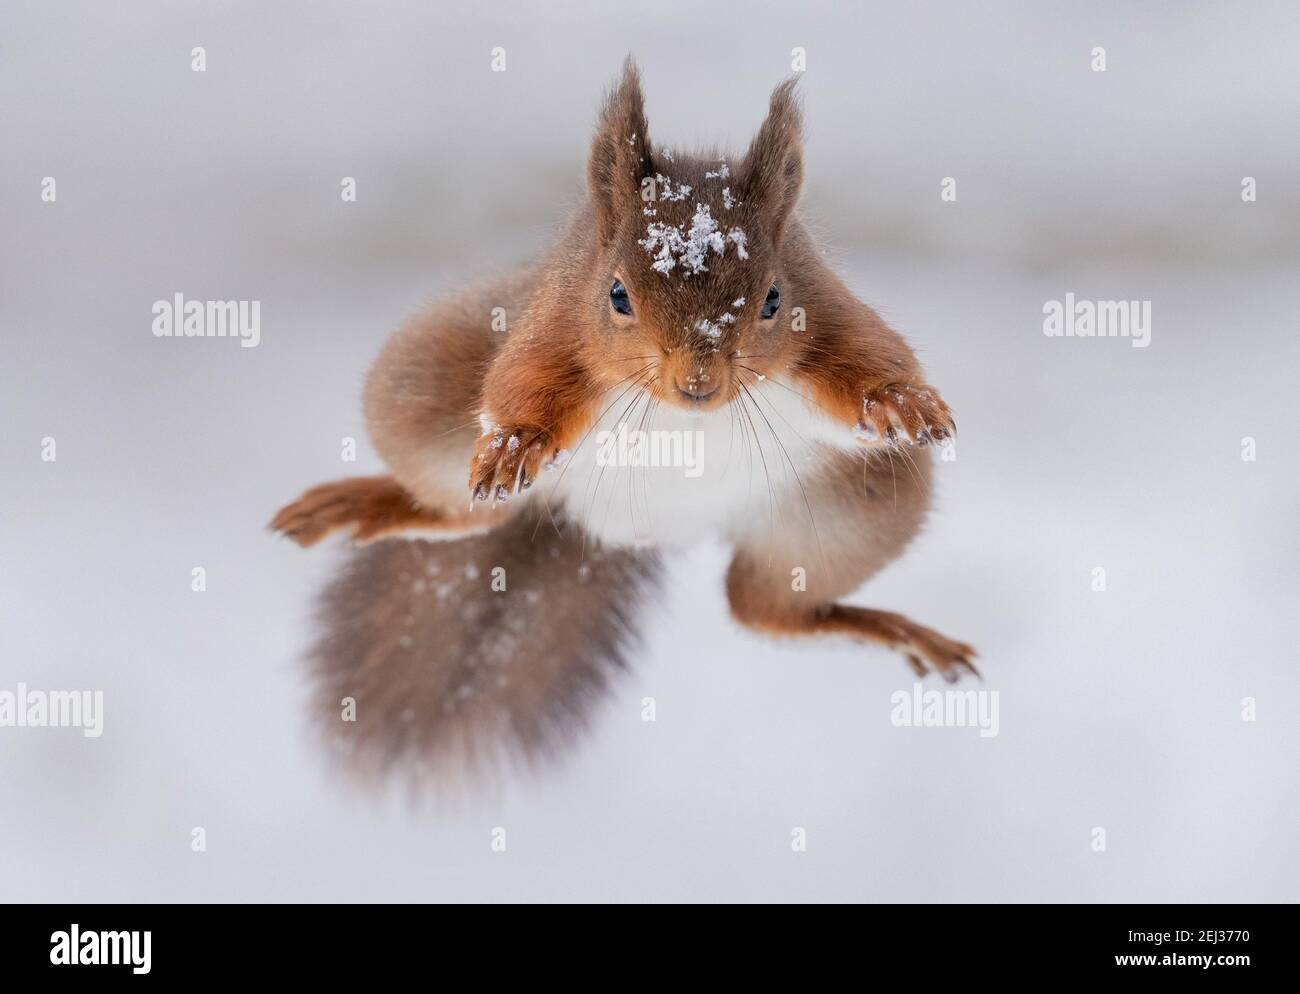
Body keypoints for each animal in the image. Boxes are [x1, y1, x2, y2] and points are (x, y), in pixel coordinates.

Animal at [271, 60, 977, 774]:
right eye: (617, 295)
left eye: (775, 299)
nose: (698, 383)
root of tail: (621, 530)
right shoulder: (555, 322)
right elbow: (522, 380)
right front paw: (517, 440)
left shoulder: (830, 312)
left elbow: (871, 354)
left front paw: (902, 401)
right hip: (426, 394)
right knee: (470, 514)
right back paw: (369, 503)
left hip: (853, 509)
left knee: (762, 610)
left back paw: (887, 630)